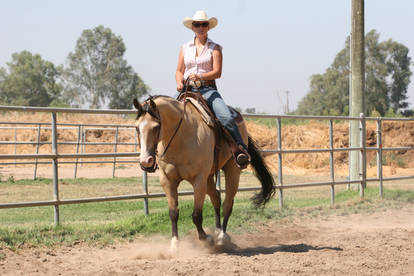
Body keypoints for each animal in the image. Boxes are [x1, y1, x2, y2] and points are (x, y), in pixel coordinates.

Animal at [133, 95, 274, 252]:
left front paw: (206, 238)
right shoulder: (167, 180)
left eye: (156, 127)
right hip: (209, 177)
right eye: (137, 127)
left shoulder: (198, 180)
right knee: (216, 198)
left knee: (227, 203)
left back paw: (222, 237)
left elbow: (196, 215)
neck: (181, 136)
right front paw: (175, 244)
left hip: (232, 170)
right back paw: (218, 231)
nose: (146, 161)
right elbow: (173, 212)